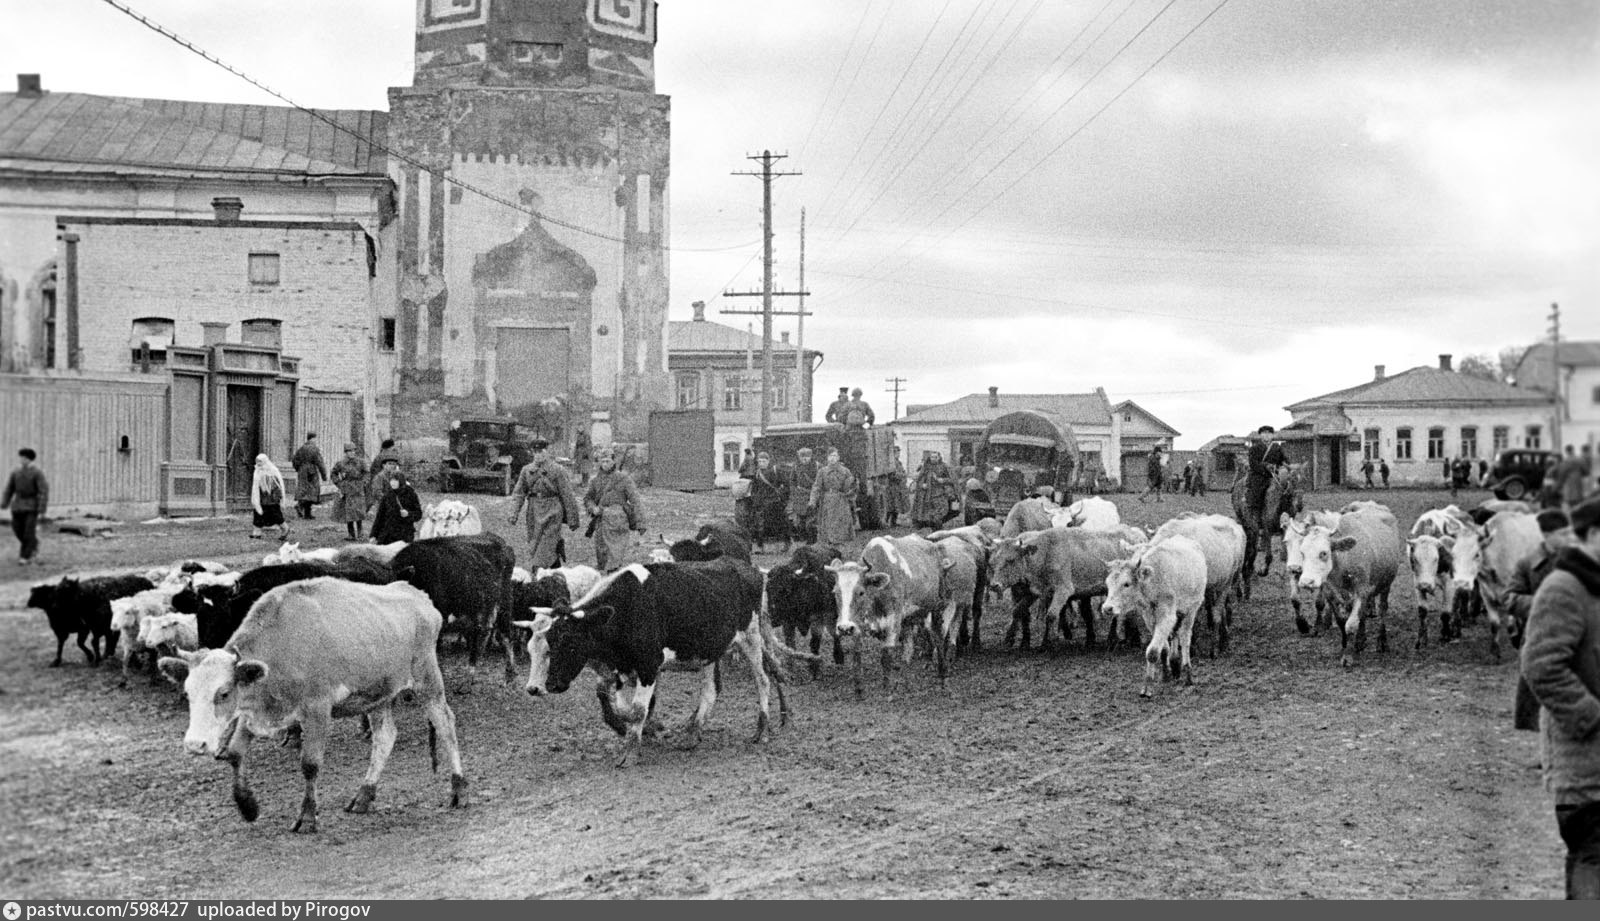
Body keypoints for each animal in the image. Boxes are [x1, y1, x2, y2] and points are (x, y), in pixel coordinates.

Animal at [160, 582, 467, 831]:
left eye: (223, 693)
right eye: (187, 692)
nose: (195, 744)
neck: (282, 648)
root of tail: (417, 595)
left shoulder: (317, 710)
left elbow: (310, 764)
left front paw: (307, 817)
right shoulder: (253, 712)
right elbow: (235, 754)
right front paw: (248, 807)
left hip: (427, 681)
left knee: (445, 724)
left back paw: (458, 789)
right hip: (377, 695)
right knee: (385, 737)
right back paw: (364, 795)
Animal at [390, 530, 515, 684]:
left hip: (503, 602)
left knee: (505, 635)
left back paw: (508, 673)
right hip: (478, 608)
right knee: (481, 633)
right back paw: (471, 674)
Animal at [518, 556, 806, 767]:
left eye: (571, 642)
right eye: (550, 641)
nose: (549, 685)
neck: (629, 607)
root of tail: (751, 570)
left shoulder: (648, 666)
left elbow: (637, 709)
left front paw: (632, 751)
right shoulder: (624, 669)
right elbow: (627, 708)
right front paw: (644, 730)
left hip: (751, 637)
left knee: (763, 680)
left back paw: (761, 729)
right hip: (712, 650)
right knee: (711, 690)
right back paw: (693, 733)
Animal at [764, 546, 851, 677]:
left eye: (786, 590)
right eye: (767, 589)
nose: (773, 618)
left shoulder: (817, 620)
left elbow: (814, 643)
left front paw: (814, 668)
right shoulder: (788, 623)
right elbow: (790, 645)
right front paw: (791, 669)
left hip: (831, 615)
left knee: (834, 633)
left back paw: (839, 657)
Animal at [1286, 508, 1401, 665]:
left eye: (1324, 553)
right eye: (1302, 552)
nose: (1306, 582)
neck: (1343, 562)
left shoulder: (1361, 591)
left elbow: (1350, 625)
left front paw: (1348, 657)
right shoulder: (1331, 593)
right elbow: (1342, 623)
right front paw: (1346, 648)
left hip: (1386, 584)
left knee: (1383, 609)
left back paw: (1381, 642)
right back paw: (1360, 641)